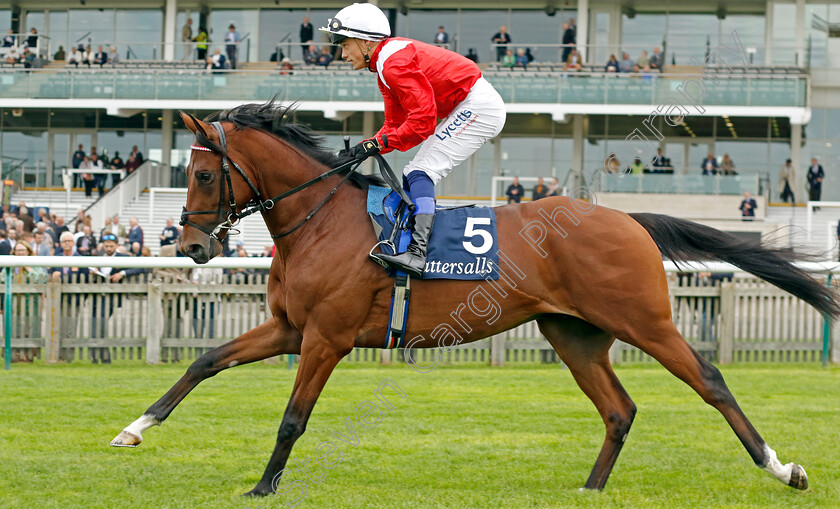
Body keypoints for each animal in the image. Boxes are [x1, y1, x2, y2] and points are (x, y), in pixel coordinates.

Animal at [111, 101, 840, 494]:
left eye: (205, 174)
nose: (191, 247)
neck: (320, 220)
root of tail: (628, 218)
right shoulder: (291, 328)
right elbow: (204, 361)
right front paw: (133, 428)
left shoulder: (326, 338)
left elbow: (293, 418)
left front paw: (263, 485)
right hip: (572, 333)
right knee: (619, 408)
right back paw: (590, 487)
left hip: (644, 319)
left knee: (710, 379)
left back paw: (783, 469)